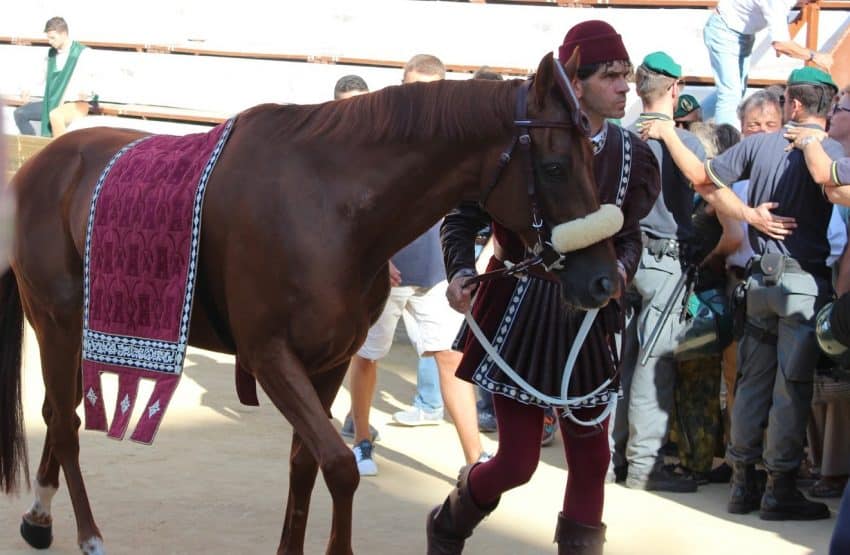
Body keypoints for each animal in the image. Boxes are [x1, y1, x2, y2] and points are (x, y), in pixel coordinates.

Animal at [0, 50, 612, 552]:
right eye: (556, 166)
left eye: (593, 157)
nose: (606, 280)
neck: (329, 204)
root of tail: (40, 164)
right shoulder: (271, 356)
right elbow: (339, 466)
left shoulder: (331, 359)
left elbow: (304, 465)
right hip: (55, 320)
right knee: (66, 422)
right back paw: (88, 533)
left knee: (60, 412)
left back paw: (40, 516)